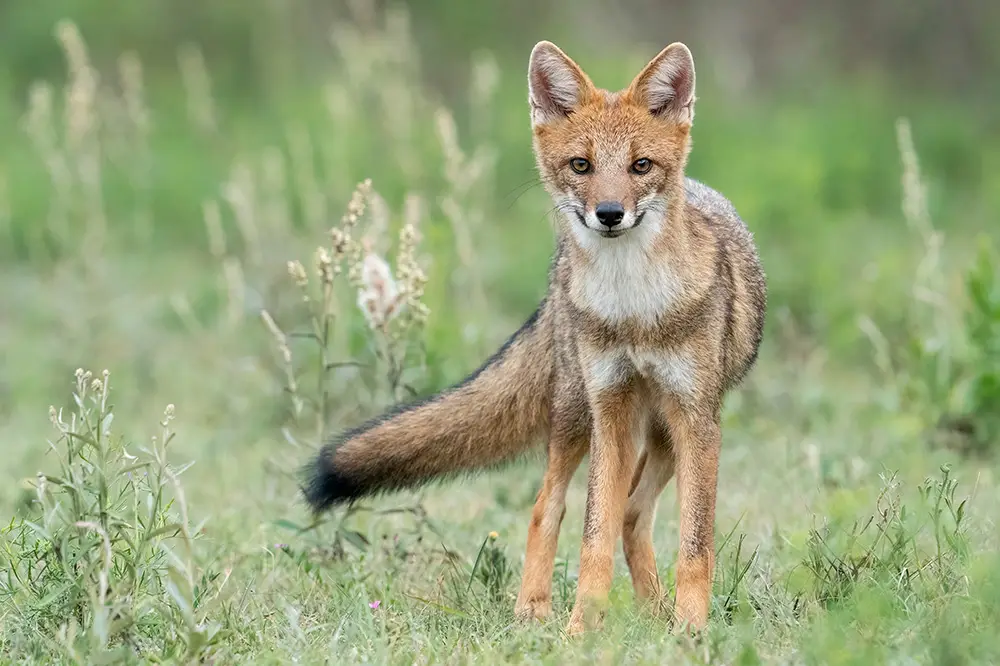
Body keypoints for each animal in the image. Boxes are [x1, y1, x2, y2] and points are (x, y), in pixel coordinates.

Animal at [304, 37, 764, 632]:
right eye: (581, 165)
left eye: (640, 166)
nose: (609, 214)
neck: (636, 311)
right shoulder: (609, 410)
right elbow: (592, 537)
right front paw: (580, 631)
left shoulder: (697, 420)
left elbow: (694, 543)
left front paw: (690, 631)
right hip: (577, 414)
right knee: (552, 505)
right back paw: (534, 612)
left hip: (663, 430)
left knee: (634, 514)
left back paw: (656, 613)